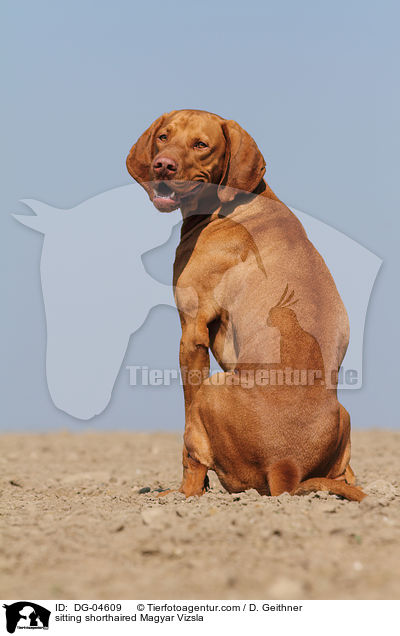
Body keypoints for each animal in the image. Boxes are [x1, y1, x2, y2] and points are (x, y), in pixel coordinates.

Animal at [126, 112, 366, 504]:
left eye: (201, 145)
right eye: (163, 137)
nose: (163, 165)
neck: (231, 205)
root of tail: (286, 465)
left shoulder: (192, 333)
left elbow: (186, 432)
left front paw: (190, 491)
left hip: (212, 388)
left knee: (193, 444)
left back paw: (181, 494)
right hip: (343, 416)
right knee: (346, 474)